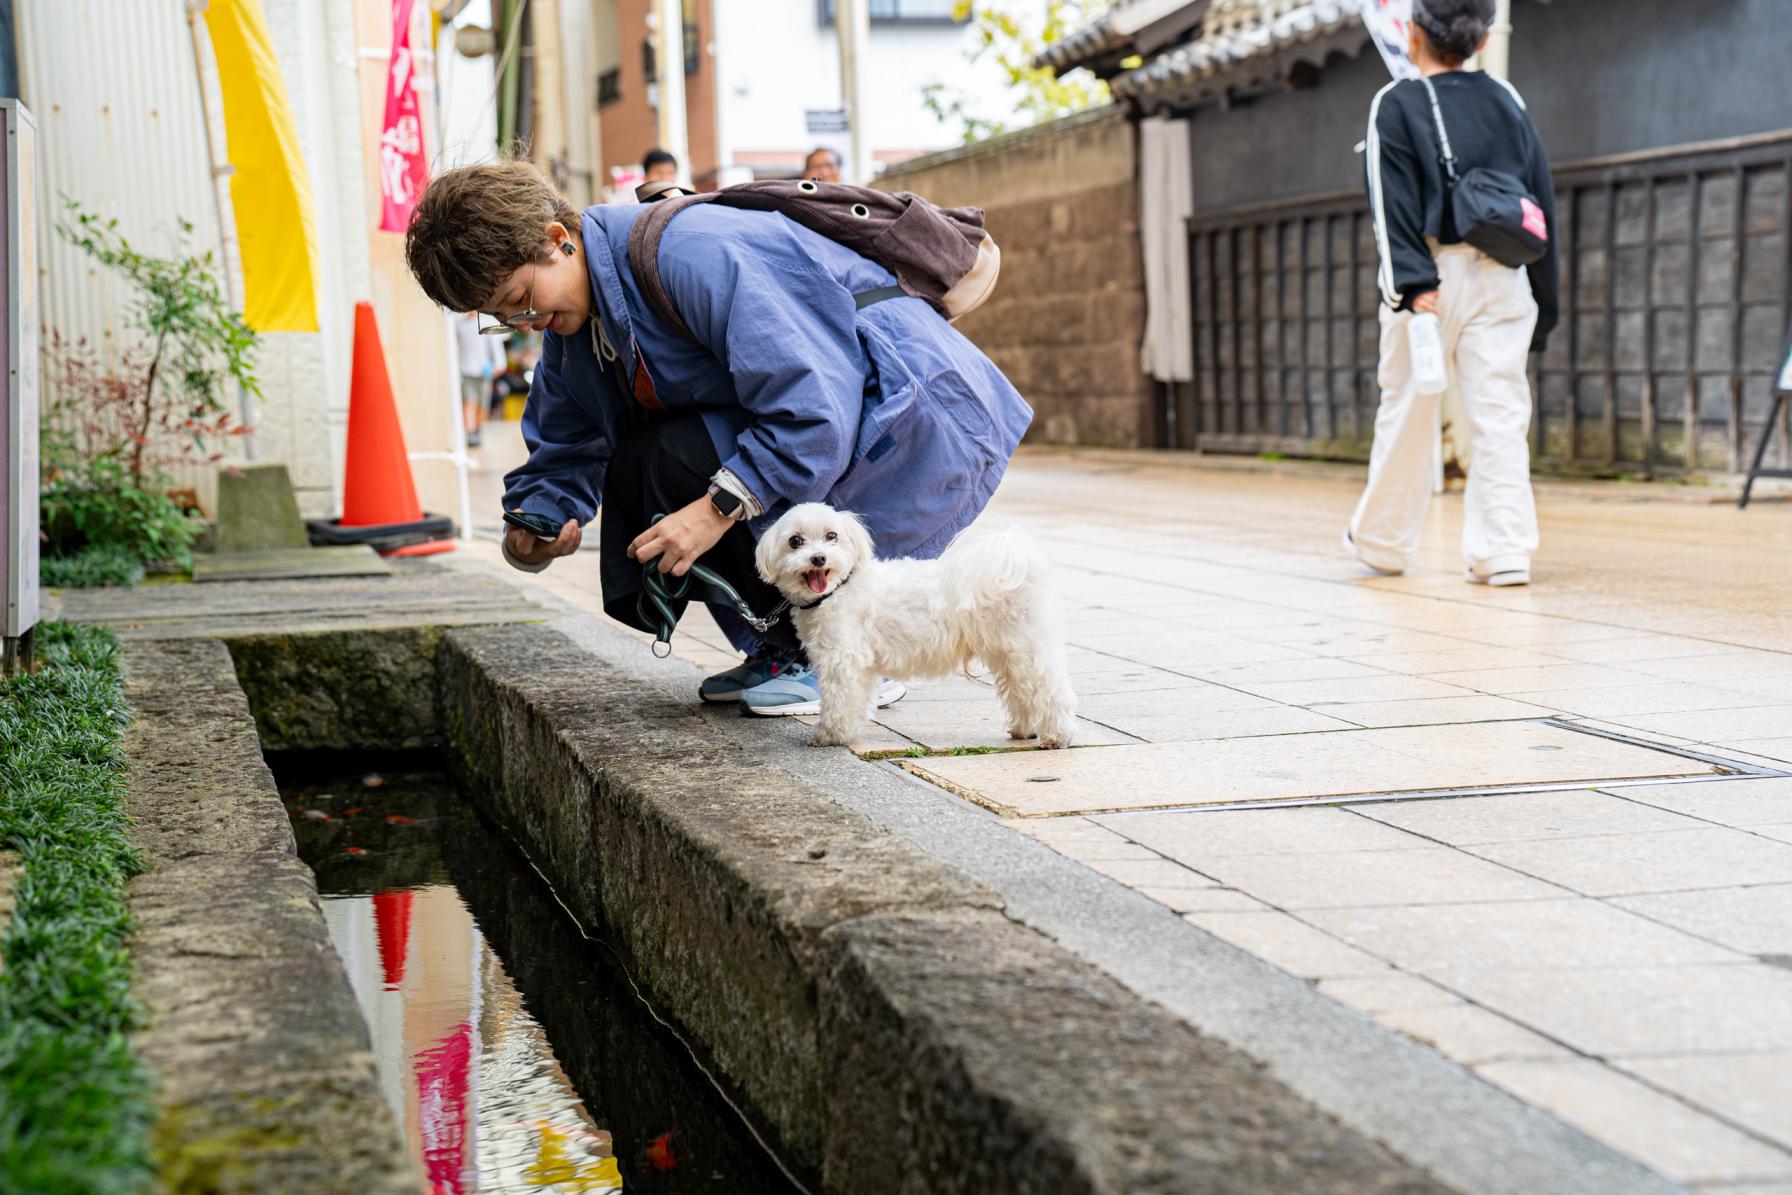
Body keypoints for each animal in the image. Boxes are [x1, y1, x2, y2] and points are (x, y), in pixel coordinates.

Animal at [756, 501, 1075, 748]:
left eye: (832, 535)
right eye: (795, 541)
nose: (819, 558)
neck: (836, 590)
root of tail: (1021, 563)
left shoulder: (843, 661)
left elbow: (839, 700)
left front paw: (829, 736)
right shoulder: (860, 667)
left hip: (1026, 647)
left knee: (1049, 688)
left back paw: (1058, 736)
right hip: (1006, 652)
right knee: (1020, 689)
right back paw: (1025, 729)